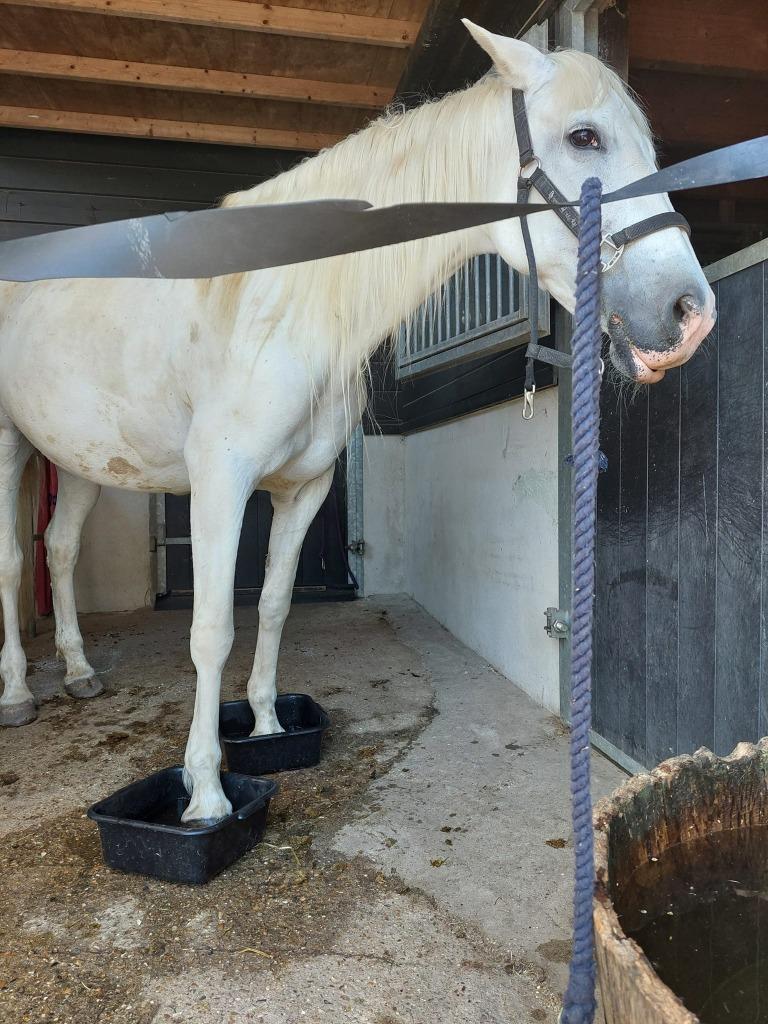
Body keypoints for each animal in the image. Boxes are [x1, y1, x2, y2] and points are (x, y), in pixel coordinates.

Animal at [0, 21, 715, 822]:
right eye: (584, 137)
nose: (691, 313)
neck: (283, 304)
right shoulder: (220, 484)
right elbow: (212, 629)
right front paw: (207, 794)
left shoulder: (302, 489)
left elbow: (274, 604)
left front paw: (268, 726)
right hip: (9, 445)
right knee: (15, 562)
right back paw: (19, 694)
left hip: (83, 460)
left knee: (60, 550)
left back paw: (80, 673)